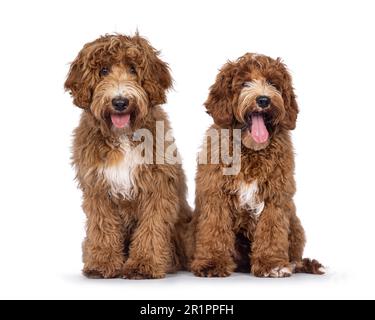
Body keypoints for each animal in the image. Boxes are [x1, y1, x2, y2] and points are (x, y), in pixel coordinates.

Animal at [64, 33, 191, 278]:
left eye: (133, 69)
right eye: (103, 70)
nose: (120, 102)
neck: (122, 136)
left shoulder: (157, 187)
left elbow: (151, 228)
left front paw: (143, 265)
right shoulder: (98, 189)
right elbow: (103, 228)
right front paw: (102, 264)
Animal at [191, 53, 326, 278]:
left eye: (273, 83)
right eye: (245, 83)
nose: (263, 100)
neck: (251, 150)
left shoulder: (275, 197)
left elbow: (271, 231)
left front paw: (272, 264)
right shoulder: (215, 193)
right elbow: (214, 229)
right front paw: (212, 262)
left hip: (295, 224)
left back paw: (297, 264)